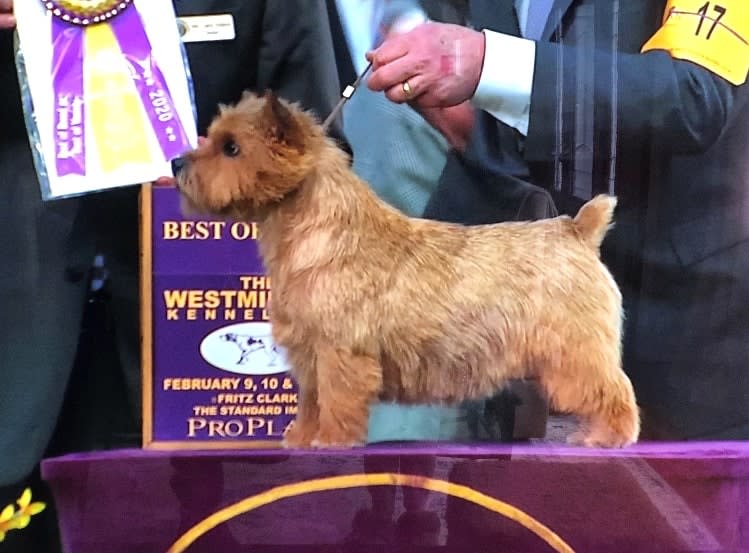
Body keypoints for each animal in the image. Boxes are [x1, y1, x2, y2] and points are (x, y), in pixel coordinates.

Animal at [172, 90, 640, 448]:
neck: (316, 230)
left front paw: (330, 443)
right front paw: (301, 439)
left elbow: (336, 403)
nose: (177, 163)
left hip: (576, 352)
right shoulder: (308, 353)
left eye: (231, 148)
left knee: (615, 391)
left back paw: (607, 438)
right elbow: (311, 401)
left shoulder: (340, 352)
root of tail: (578, 229)